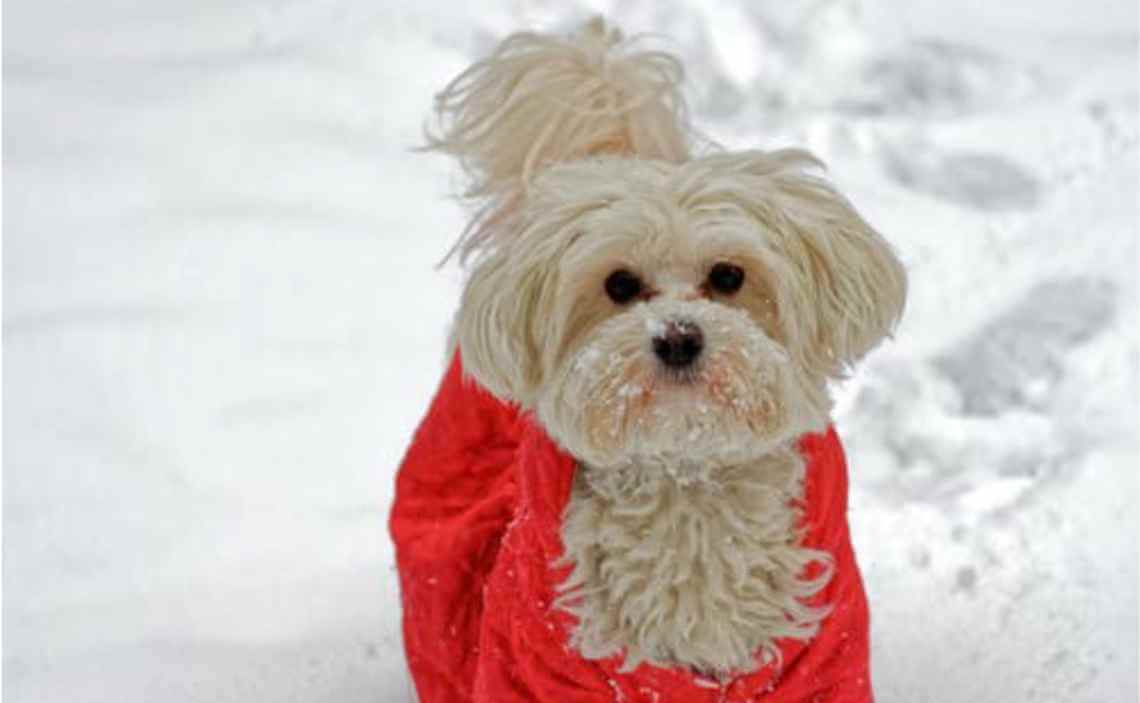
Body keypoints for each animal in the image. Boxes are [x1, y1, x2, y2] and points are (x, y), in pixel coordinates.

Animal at [392, 17, 907, 701]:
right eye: (618, 284)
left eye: (728, 275)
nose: (679, 337)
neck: (687, 492)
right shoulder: (532, 661)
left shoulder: (824, 660)